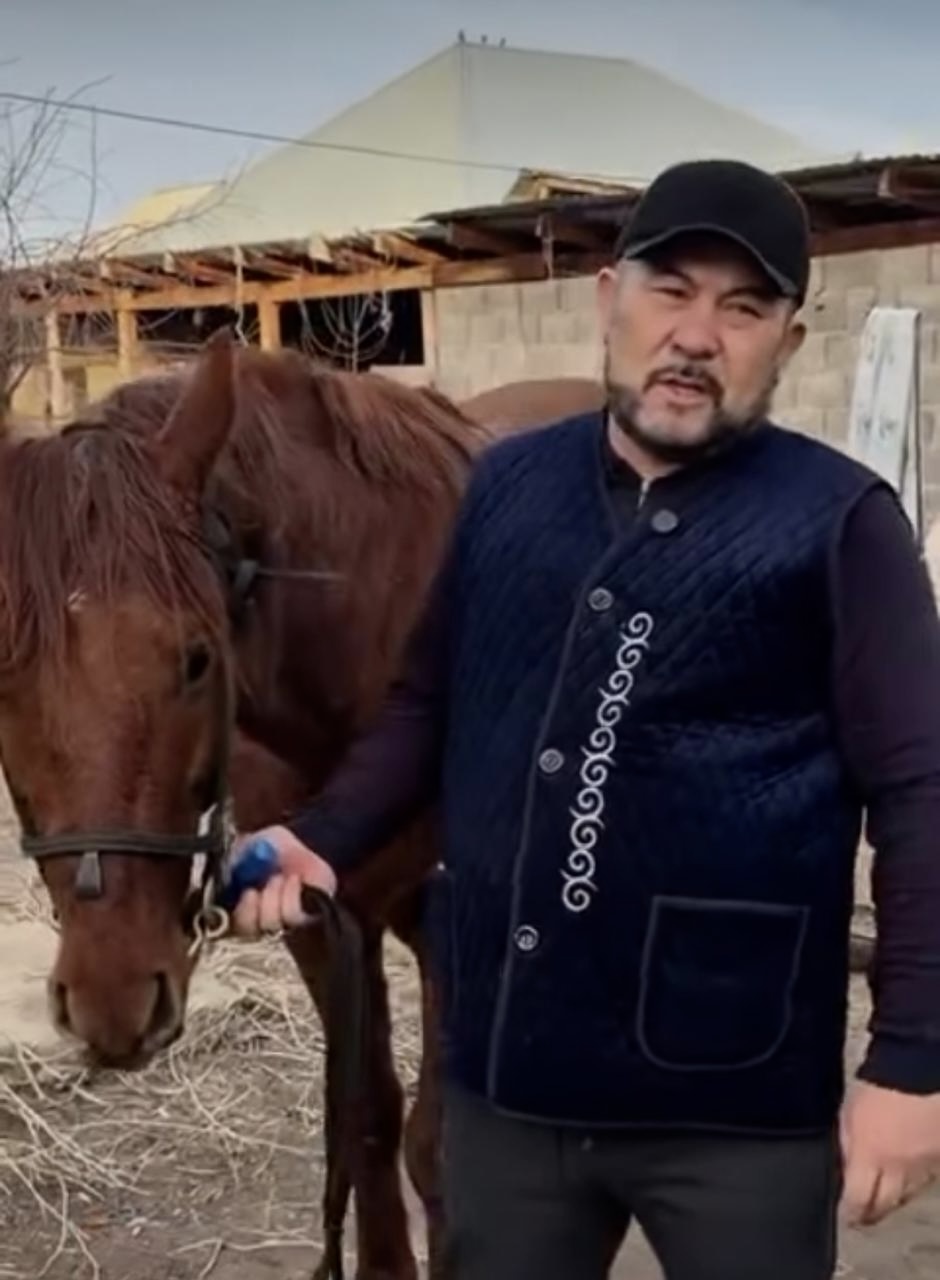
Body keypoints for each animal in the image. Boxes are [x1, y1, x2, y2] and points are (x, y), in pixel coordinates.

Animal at [0, 330, 602, 1279]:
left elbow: (437, 1146)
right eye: (2, 672)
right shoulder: (320, 916)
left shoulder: (447, 921)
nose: (111, 1000)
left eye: (198, 657)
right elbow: (366, 1122)